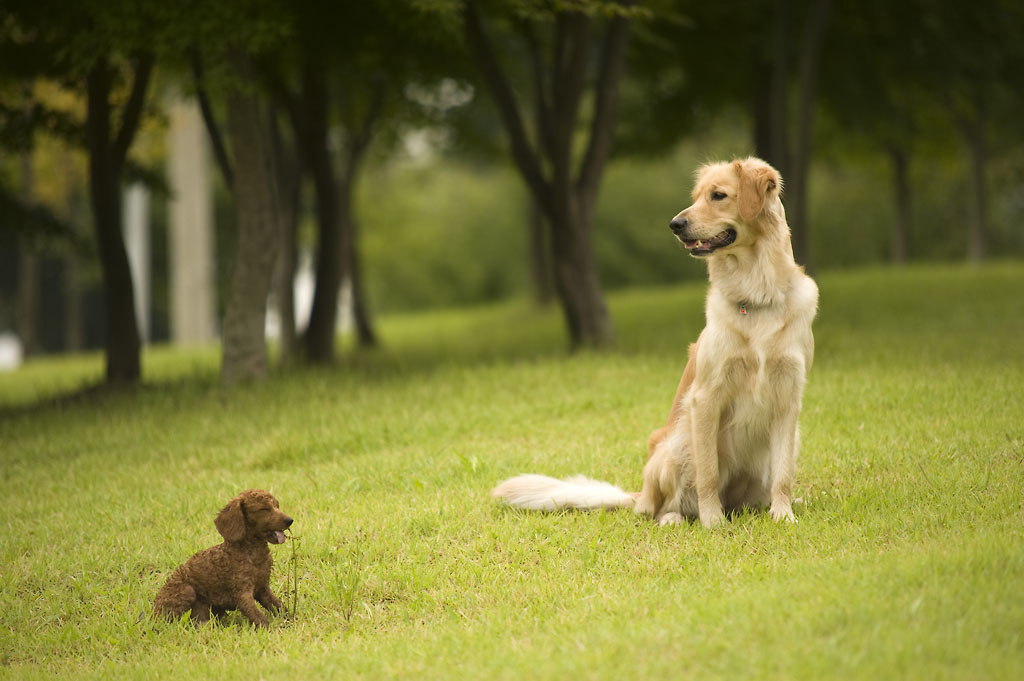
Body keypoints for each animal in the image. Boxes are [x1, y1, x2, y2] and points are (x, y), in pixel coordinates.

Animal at [153, 489, 294, 626]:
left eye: (277, 506)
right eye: (264, 509)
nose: (290, 520)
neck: (253, 553)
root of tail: (153, 612)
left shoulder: (263, 588)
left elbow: (279, 605)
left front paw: (292, 620)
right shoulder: (242, 592)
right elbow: (257, 615)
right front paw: (268, 629)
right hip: (186, 590)